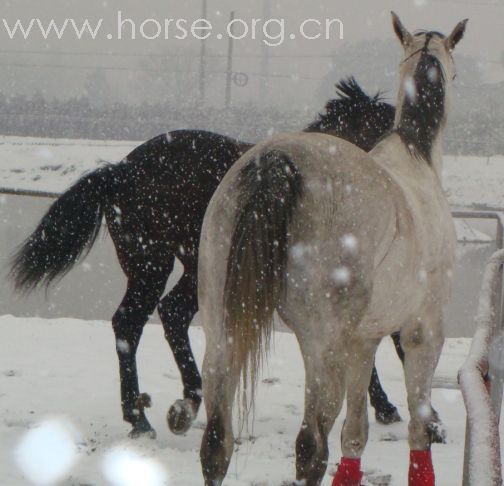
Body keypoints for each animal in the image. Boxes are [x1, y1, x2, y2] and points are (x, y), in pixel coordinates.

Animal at [10, 78, 430, 438]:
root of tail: (118, 171)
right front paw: (391, 407)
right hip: (152, 265)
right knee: (130, 323)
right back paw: (142, 417)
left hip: (194, 266)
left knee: (169, 315)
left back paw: (184, 401)